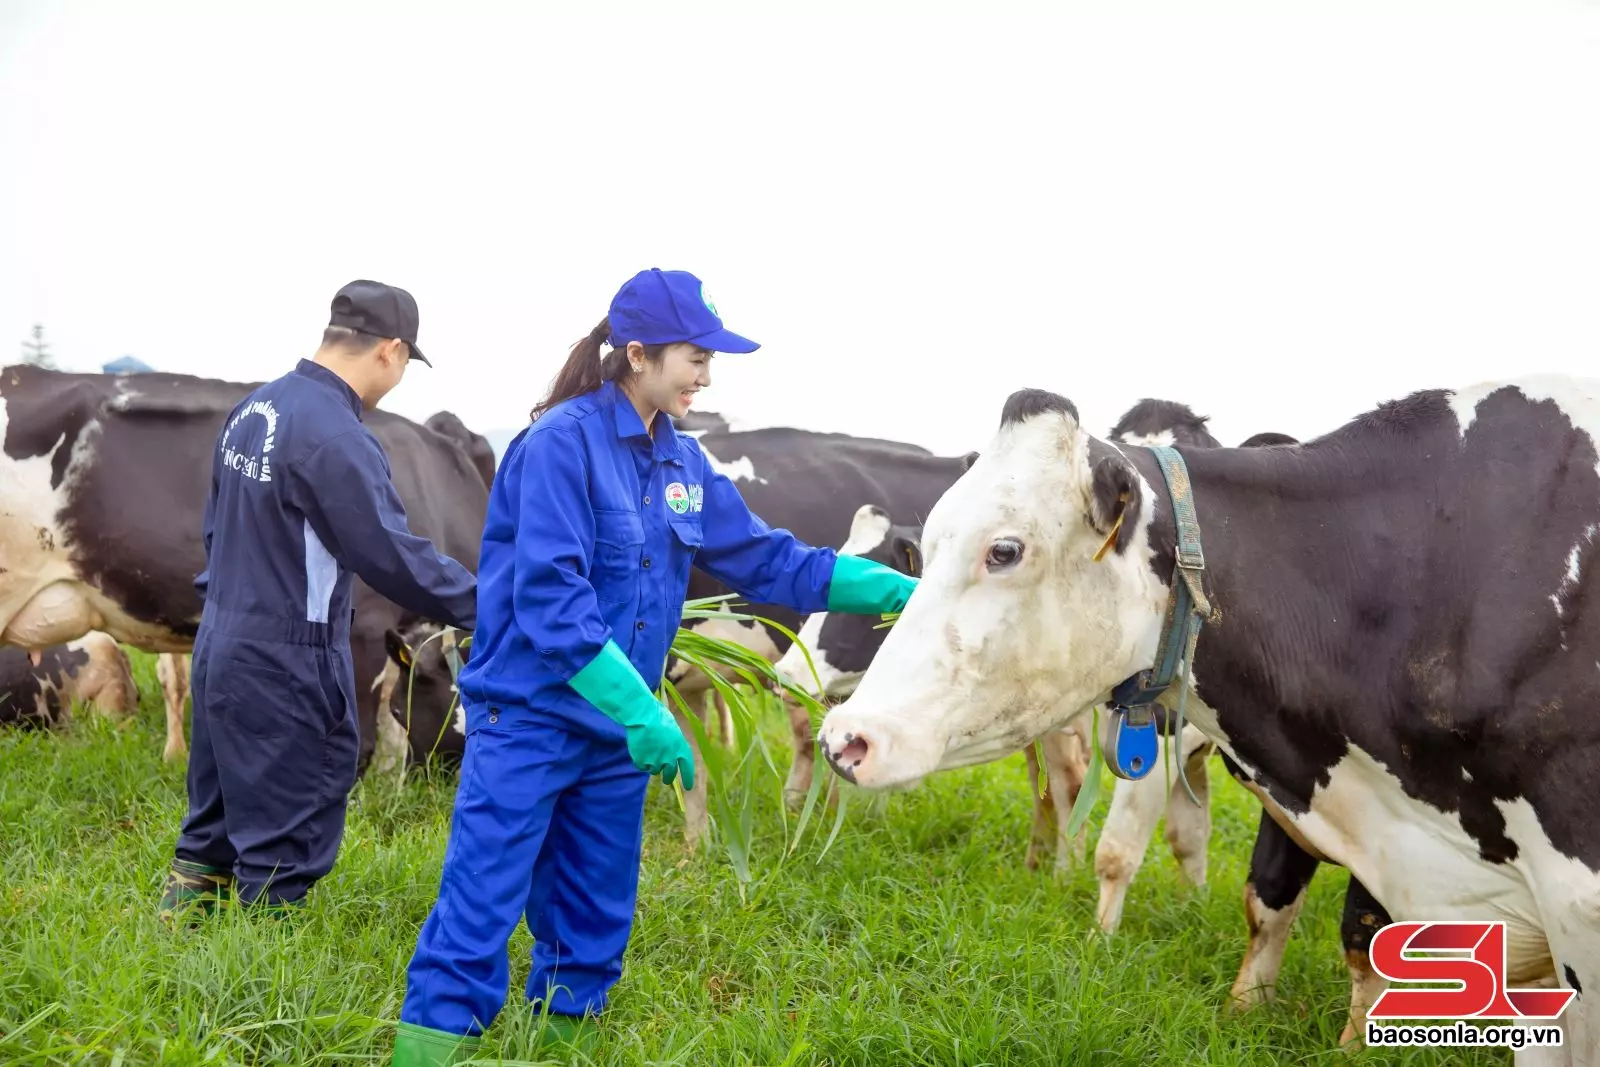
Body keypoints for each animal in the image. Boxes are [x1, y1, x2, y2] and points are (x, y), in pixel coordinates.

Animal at [825, 382, 1600, 1062]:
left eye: (1005, 549)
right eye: (930, 543)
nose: (844, 738)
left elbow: (1355, 929)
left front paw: (1354, 1043)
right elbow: (1263, 895)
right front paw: (1241, 1010)